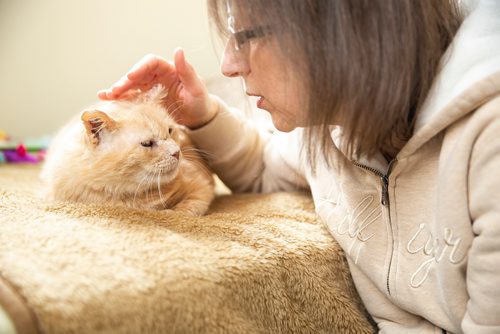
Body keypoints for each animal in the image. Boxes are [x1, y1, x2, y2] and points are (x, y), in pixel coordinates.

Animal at [40, 85, 215, 215]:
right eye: (147, 143)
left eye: (170, 131)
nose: (176, 152)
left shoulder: (202, 186)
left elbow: (188, 208)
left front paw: (171, 212)